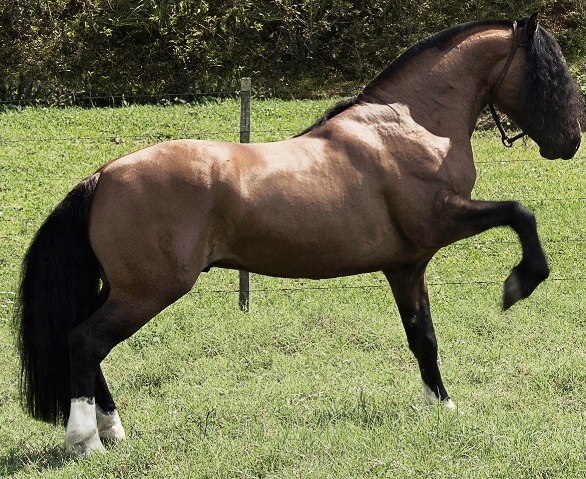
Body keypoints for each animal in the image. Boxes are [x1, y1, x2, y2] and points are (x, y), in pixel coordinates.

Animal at [13, 14, 580, 458]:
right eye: (549, 73)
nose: (570, 142)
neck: (411, 125)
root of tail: (103, 176)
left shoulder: (407, 263)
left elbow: (423, 337)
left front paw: (441, 405)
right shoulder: (439, 222)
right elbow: (520, 214)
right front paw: (520, 283)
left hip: (123, 289)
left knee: (88, 344)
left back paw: (113, 431)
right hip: (148, 291)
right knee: (85, 341)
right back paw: (86, 441)